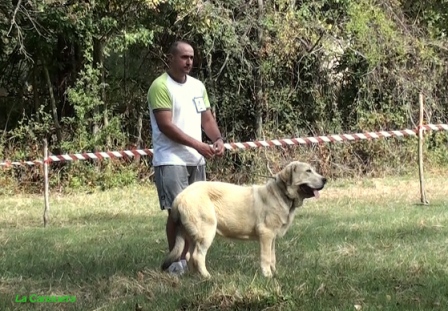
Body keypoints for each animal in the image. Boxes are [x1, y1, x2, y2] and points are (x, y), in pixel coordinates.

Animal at [160, 161, 326, 278]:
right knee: (197, 256)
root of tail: (180, 196)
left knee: (189, 256)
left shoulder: (272, 238)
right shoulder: (266, 234)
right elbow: (266, 257)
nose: (325, 179)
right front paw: (267, 275)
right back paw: (207, 276)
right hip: (206, 231)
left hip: (193, 234)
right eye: (308, 171)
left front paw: (275, 274)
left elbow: (272, 257)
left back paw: (195, 276)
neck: (282, 194)